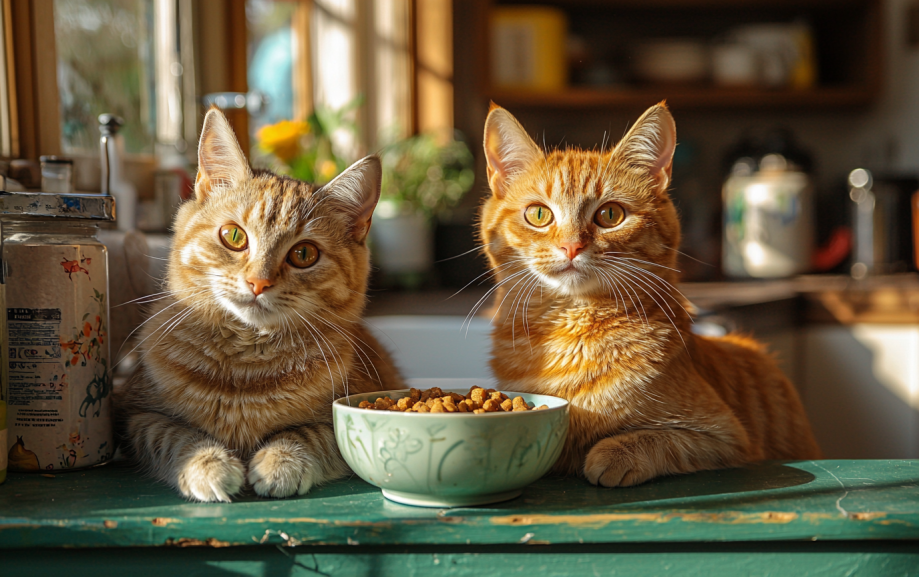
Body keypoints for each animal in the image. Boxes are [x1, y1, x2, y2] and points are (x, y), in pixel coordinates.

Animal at [115, 107, 402, 500]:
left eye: (303, 254)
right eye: (234, 236)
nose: (258, 282)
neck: (244, 366)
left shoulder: (350, 406)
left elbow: (310, 434)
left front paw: (280, 462)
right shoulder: (135, 415)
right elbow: (177, 436)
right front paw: (208, 465)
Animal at [482, 103, 820, 486]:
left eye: (610, 214)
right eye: (538, 214)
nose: (571, 247)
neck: (571, 331)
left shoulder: (726, 436)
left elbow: (660, 439)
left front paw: (613, 452)